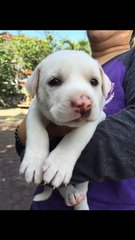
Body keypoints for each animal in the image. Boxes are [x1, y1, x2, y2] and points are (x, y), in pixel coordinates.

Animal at [19, 50, 110, 210]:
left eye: (94, 82)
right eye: (54, 81)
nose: (83, 103)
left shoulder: (98, 116)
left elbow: (75, 137)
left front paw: (58, 164)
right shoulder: (35, 109)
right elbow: (37, 131)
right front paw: (34, 162)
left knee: (82, 188)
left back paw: (78, 201)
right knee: (60, 186)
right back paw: (70, 194)